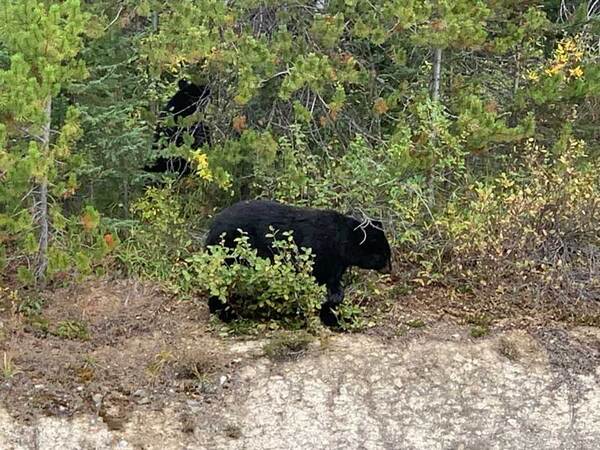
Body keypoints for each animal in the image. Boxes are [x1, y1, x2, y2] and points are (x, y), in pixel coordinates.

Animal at [205, 199, 392, 326]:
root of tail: (211, 227)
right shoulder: (318, 252)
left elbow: (334, 285)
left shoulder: (335, 262)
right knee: (221, 284)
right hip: (230, 251)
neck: (340, 242)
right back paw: (226, 313)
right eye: (384, 255)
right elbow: (319, 283)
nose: (390, 269)